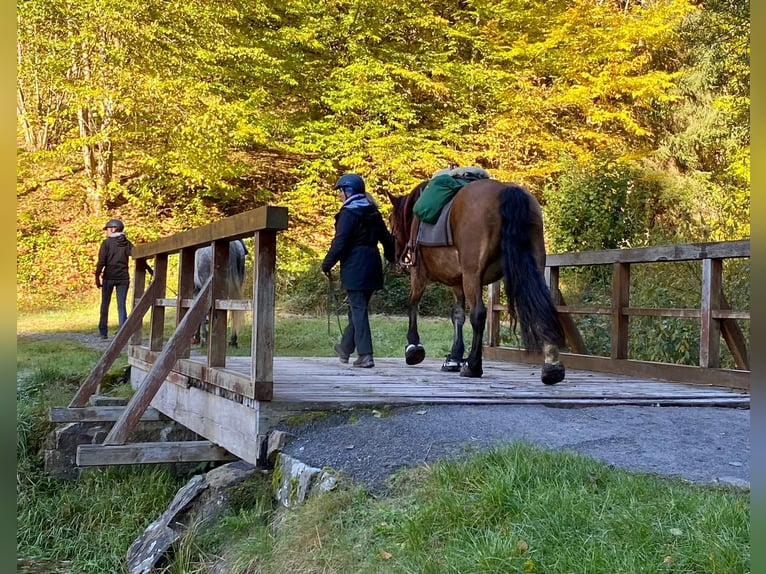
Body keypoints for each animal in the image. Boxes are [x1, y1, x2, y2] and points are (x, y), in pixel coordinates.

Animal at [388, 180, 568, 384]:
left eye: (391, 221)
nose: (394, 257)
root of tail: (506, 191)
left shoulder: (419, 274)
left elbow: (413, 304)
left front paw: (414, 347)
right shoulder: (457, 282)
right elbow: (458, 315)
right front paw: (455, 357)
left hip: (471, 274)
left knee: (479, 314)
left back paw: (473, 365)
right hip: (534, 262)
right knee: (542, 308)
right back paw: (552, 366)